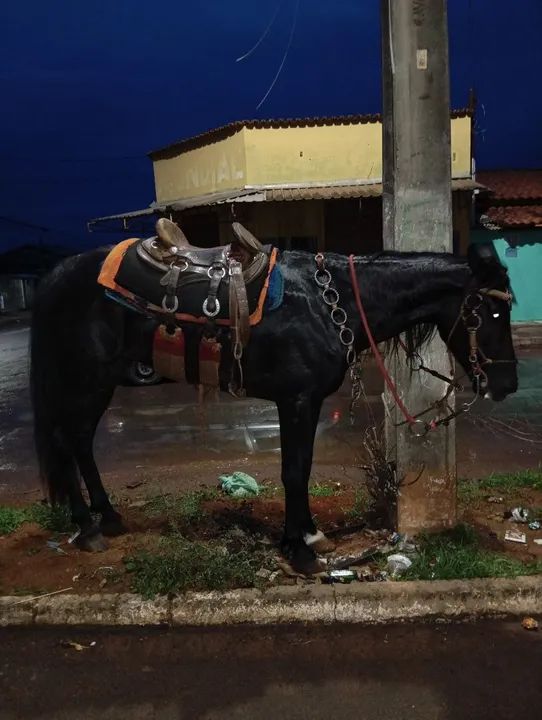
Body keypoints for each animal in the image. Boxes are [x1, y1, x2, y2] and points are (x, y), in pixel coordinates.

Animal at [30, 240, 518, 575]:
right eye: (492, 312)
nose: (506, 385)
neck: (329, 303)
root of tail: (55, 276)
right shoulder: (297, 400)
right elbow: (294, 471)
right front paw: (299, 549)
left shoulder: (304, 402)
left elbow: (300, 467)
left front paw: (308, 535)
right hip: (84, 382)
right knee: (67, 443)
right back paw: (87, 528)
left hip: (99, 385)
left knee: (81, 443)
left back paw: (109, 517)